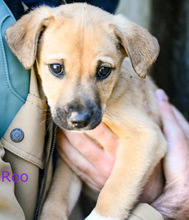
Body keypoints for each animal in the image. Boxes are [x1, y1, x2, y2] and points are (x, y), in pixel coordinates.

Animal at [5, 2, 166, 219]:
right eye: (56, 68)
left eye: (104, 71)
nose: (79, 121)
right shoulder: (69, 165)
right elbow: (56, 198)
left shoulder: (146, 136)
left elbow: (115, 188)